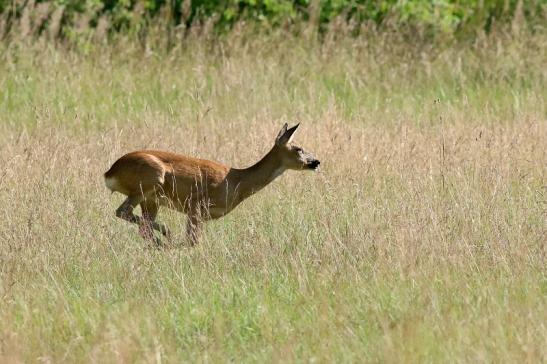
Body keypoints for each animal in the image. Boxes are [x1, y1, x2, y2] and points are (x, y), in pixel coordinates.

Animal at [103, 123, 322, 246]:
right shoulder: (196, 206)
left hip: (151, 200)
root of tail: (110, 172)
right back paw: (166, 235)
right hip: (149, 181)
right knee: (123, 212)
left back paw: (161, 238)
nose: (316, 162)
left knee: (142, 226)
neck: (237, 181)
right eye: (299, 148)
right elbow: (192, 241)